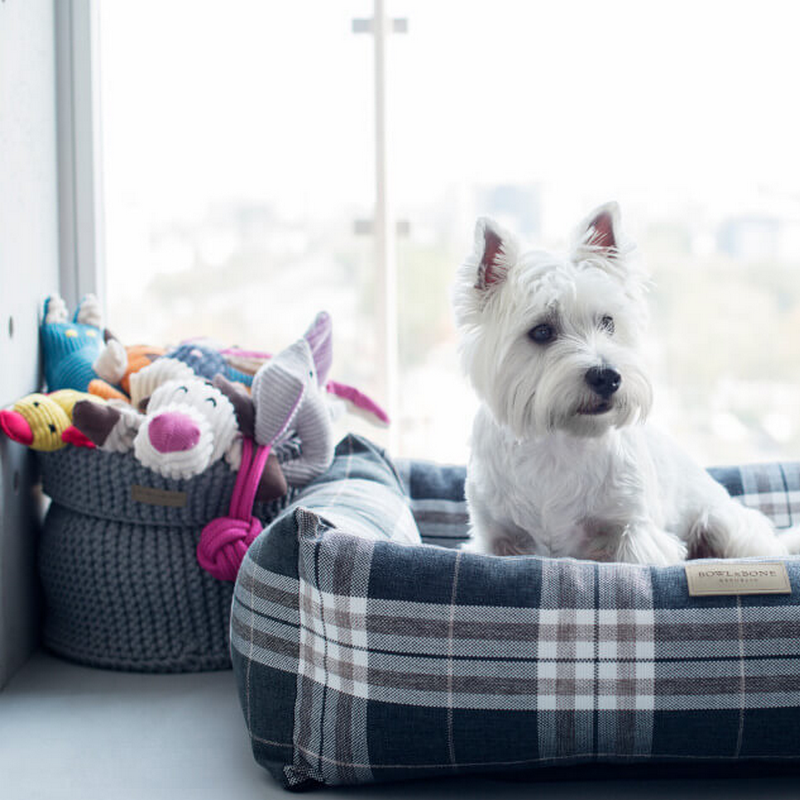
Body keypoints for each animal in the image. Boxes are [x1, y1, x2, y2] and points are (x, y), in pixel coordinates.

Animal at [454, 203, 792, 564]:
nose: (607, 377)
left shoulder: (633, 532)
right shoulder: (497, 536)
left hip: (724, 523)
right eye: (542, 331)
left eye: (608, 322)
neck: (558, 442)